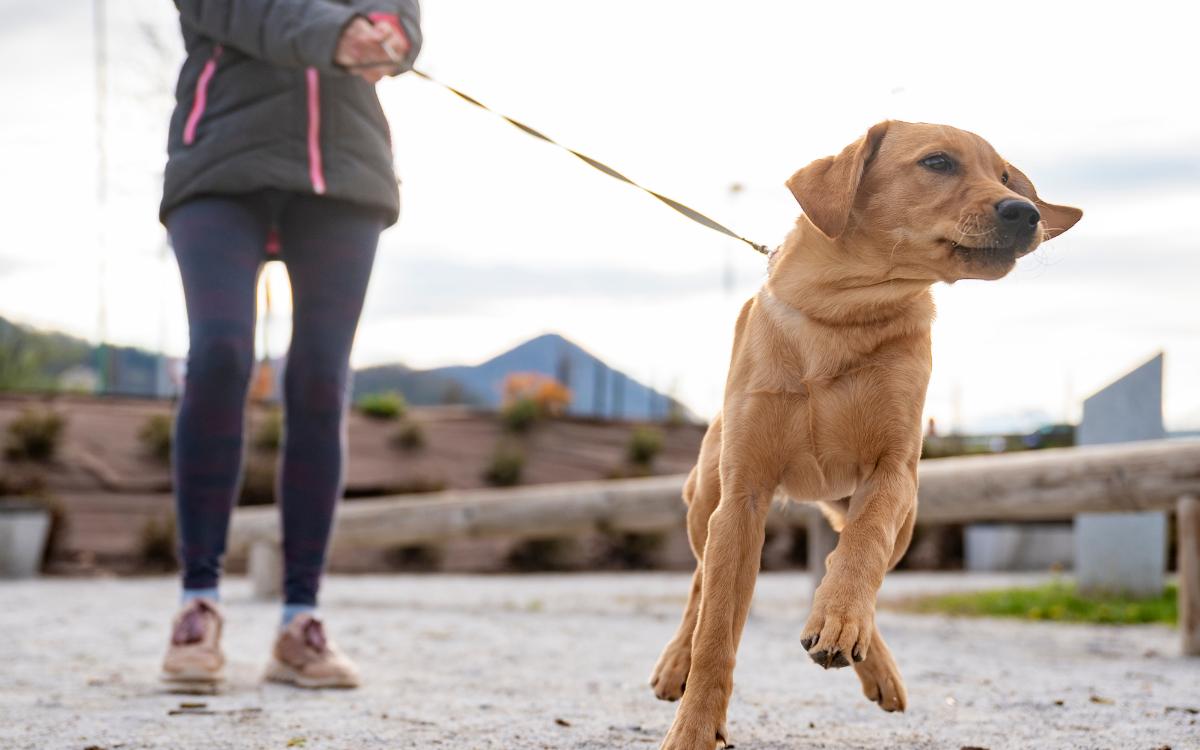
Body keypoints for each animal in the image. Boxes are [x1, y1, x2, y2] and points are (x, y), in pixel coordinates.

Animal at [652, 120, 1084, 744]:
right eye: (938, 162)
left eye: (1005, 176)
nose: (1025, 211)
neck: (843, 313)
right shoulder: (742, 498)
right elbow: (716, 634)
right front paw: (692, 729)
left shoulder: (892, 472)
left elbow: (862, 548)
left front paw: (839, 620)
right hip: (704, 503)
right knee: (699, 583)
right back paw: (675, 662)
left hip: (900, 514)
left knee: (853, 559)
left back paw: (858, 644)